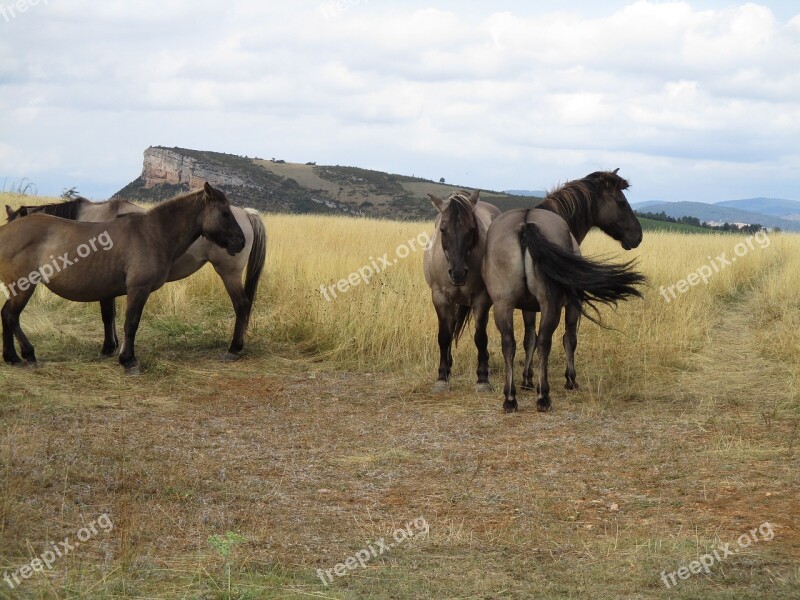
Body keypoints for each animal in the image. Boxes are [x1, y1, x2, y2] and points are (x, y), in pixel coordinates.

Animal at [0, 180, 247, 372]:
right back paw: (28, 354)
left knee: (5, 314)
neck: (154, 233)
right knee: (11, 316)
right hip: (23, 286)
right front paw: (128, 360)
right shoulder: (138, 289)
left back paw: (12, 357)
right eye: (225, 213)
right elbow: (131, 322)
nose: (241, 242)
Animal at [422, 190, 504, 392]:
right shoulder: (440, 298)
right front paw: (442, 377)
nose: (458, 274)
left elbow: (480, 337)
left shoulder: (482, 300)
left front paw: (482, 379)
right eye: (443, 229)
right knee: (450, 329)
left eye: (471, 229)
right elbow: (444, 336)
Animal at [484, 170, 648, 412]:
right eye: (621, 202)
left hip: (503, 305)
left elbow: (528, 339)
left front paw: (527, 379)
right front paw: (570, 379)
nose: (637, 236)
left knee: (509, 343)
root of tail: (526, 224)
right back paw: (543, 396)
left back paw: (510, 398)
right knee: (545, 342)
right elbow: (569, 339)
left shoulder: (527, 308)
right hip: (550, 305)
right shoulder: (572, 305)